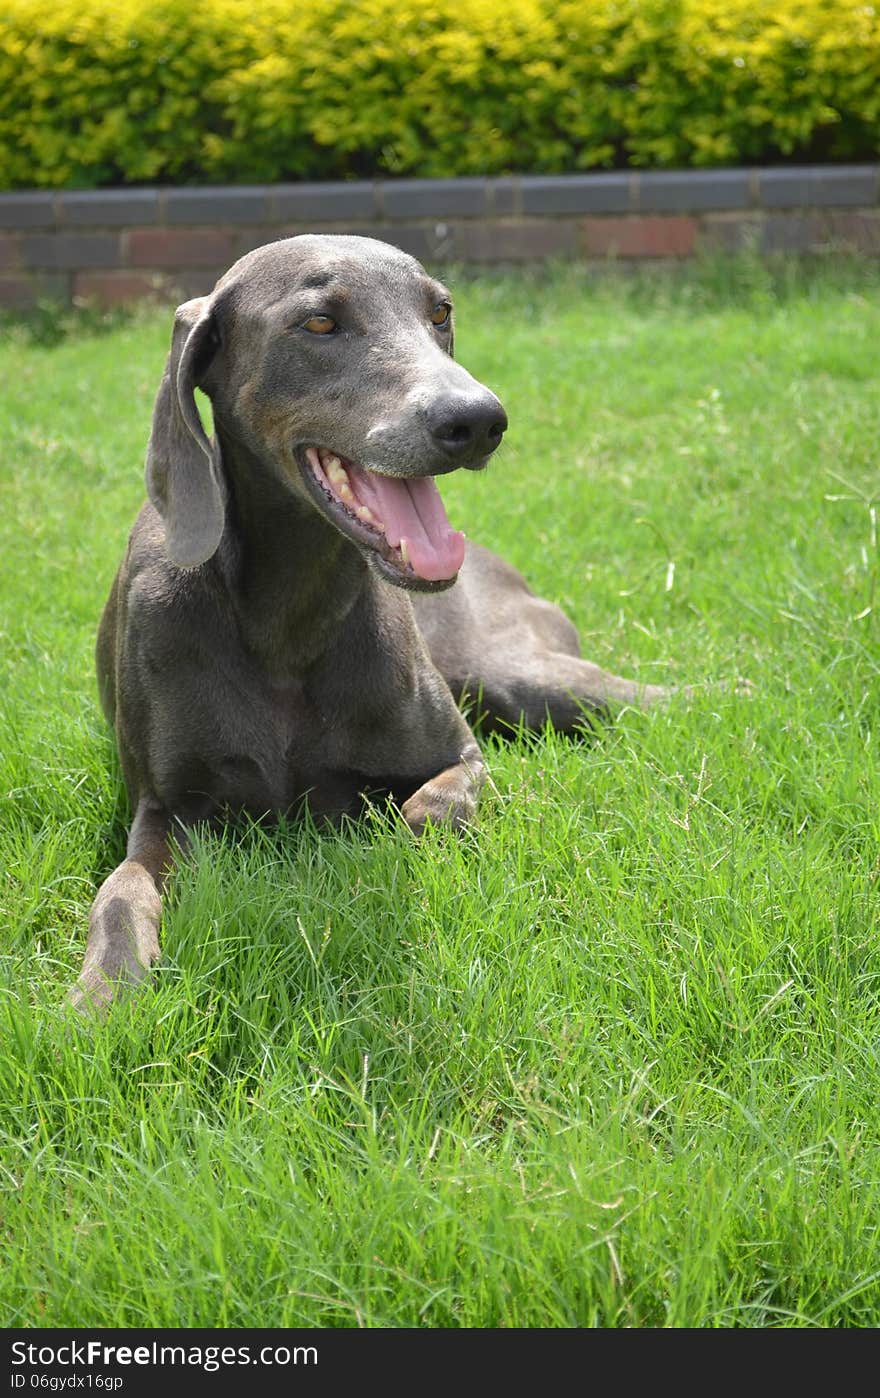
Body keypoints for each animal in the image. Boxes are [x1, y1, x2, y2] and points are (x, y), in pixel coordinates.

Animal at [70, 234, 665, 1012]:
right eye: (320, 323)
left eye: (440, 312)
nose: (478, 420)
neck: (292, 616)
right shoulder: (168, 808)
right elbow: (123, 884)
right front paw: (107, 987)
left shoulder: (462, 756)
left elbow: (431, 806)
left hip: (522, 676)